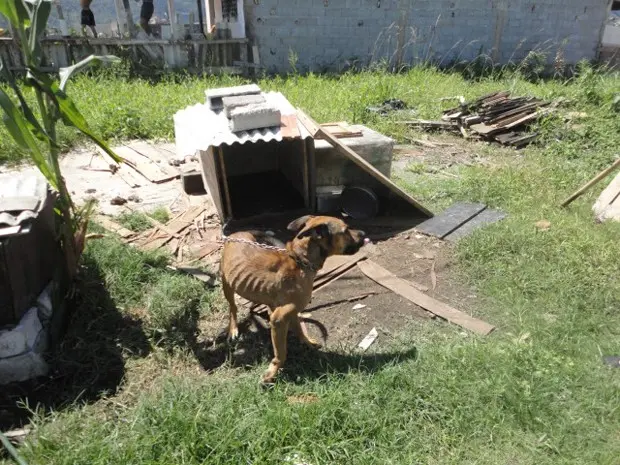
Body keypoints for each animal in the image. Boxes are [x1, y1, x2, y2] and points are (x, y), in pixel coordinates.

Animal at [220, 216, 366, 382]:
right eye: (346, 230)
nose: (363, 233)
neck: (301, 262)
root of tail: (234, 234)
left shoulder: (293, 310)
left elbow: (300, 328)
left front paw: (308, 342)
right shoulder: (279, 320)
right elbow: (281, 353)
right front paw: (272, 372)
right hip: (227, 284)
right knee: (233, 307)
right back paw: (233, 329)